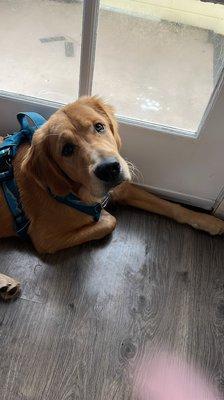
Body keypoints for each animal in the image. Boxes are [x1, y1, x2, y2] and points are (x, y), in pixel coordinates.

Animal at [0, 95, 224, 298]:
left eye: (99, 126)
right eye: (67, 149)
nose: (109, 169)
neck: (74, 189)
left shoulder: (122, 187)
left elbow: (172, 207)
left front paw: (209, 221)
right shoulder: (44, 238)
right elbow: (109, 221)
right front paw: (101, 214)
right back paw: (6, 283)